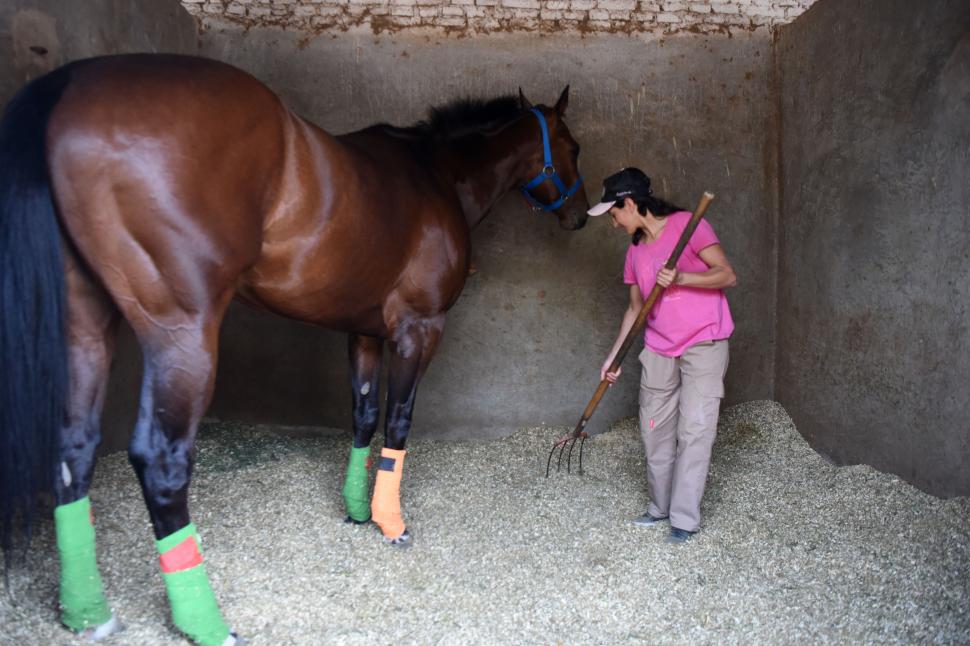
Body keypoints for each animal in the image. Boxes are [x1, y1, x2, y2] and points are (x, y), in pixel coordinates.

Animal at [0, 53, 588, 644]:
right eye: (575, 147)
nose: (580, 216)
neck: (436, 173)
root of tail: (70, 87)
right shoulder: (419, 329)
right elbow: (398, 422)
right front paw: (391, 523)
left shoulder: (364, 332)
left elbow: (363, 416)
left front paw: (357, 510)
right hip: (182, 336)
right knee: (162, 462)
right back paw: (204, 621)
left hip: (85, 330)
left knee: (74, 449)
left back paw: (86, 611)